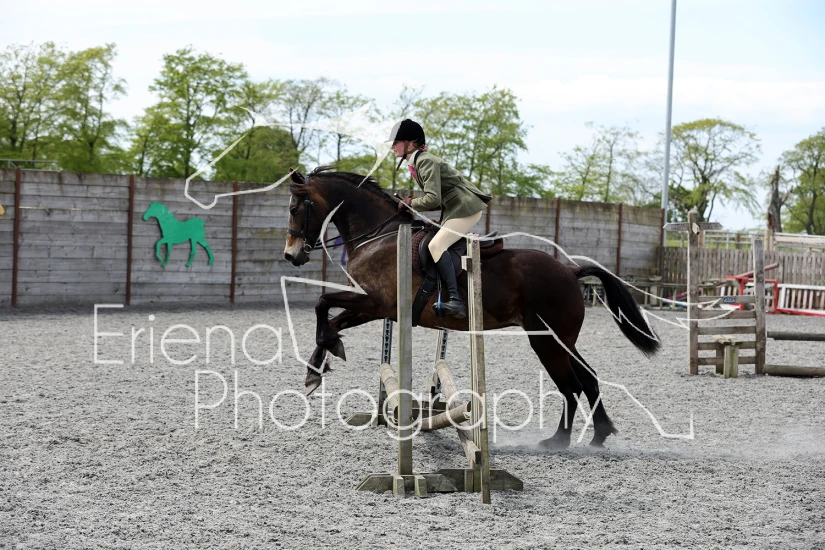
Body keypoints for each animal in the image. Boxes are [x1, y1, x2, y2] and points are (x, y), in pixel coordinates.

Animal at [283, 167, 660, 449]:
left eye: (294, 209)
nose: (292, 255)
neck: (379, 236)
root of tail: (570, 270)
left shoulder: (375, 302)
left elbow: (322, 305)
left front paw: (319, 365)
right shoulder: (373, 308)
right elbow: (329, 320)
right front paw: (316, 369)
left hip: (546, 340)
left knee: (571, 386)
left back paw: (559, 441)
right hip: (560, 340)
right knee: (587, 378)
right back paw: (598, 436)